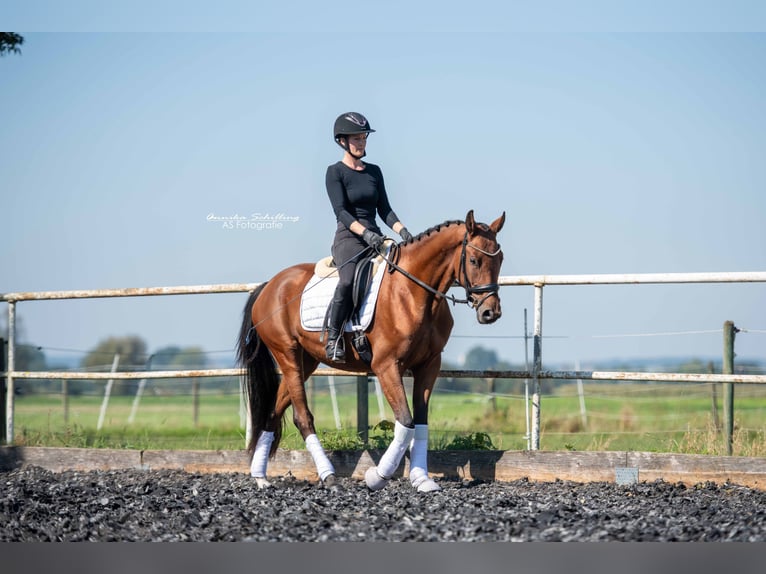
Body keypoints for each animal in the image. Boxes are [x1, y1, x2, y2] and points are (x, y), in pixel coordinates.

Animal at [237, 212, 508, 496]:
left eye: (500, 259)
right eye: (474, 260)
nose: (490, 312)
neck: (413, 292)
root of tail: (269, 285)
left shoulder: (429, 365)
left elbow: (420, 423)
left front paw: (421, 479)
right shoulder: (386, 365)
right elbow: (406, 422)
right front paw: (377, 476)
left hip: (305, 362)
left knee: (272, 413)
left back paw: (260, 478)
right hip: (287, 354)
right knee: (302, 418)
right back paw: (329, 477)